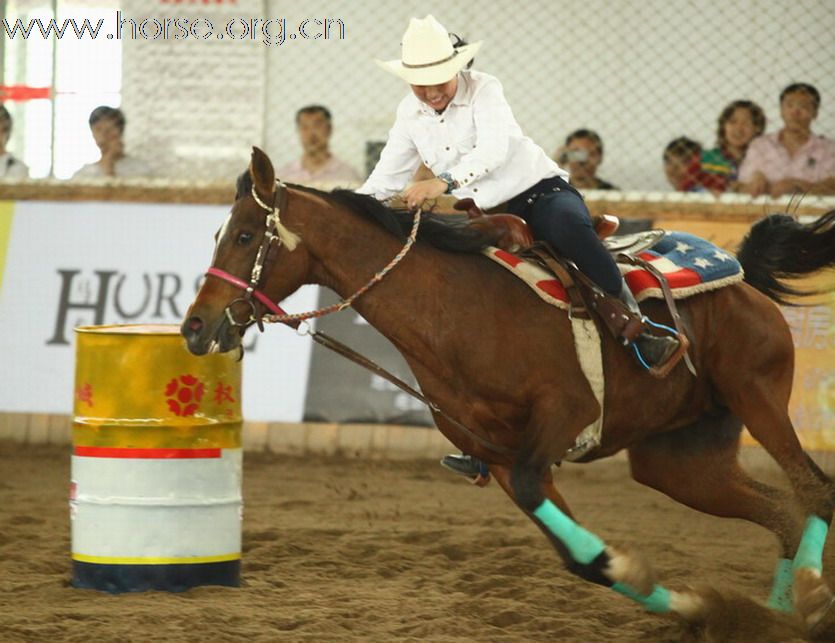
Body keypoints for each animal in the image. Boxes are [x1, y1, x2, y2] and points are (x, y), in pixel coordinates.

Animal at [183, 148, 835, 636]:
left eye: (245, 235)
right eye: (216, 233)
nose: (194, 327)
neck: (456, 309)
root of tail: (741, 276)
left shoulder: (564, 417)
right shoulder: (501, 458)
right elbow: (583, 560)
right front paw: (689, 604)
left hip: (758, 397)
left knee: (815, 493)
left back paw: (810, 600)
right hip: (680, 460)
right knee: (783, 512)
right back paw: (775, 615)